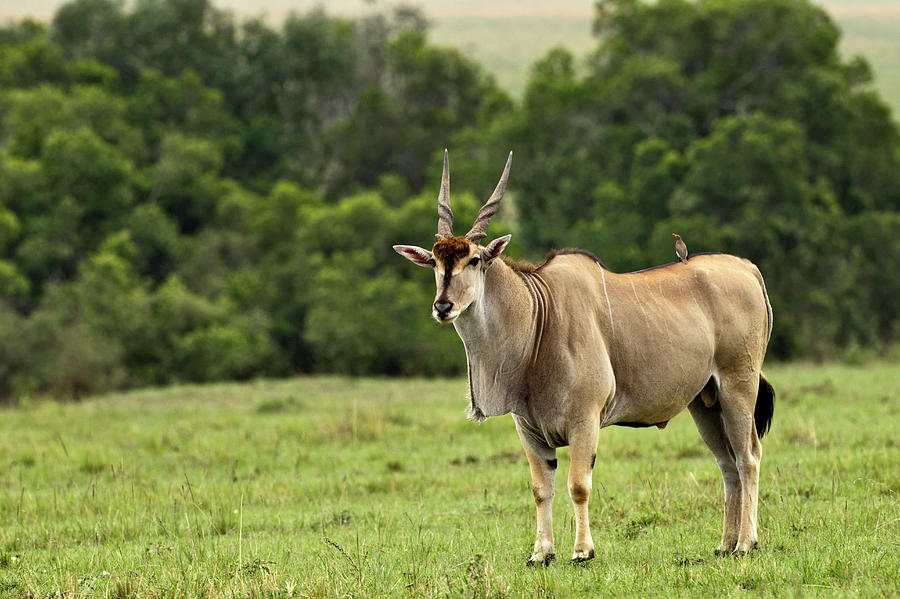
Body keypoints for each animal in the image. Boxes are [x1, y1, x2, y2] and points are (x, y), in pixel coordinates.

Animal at [394, 152, 772, 564]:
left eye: (475, 260)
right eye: (435, 263)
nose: (443, 306)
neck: (540, 314)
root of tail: (748, 268)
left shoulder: (585, 420)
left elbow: (578, 485)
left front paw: (581, 551)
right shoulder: (529, 430)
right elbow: (540, 489)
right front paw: (541, 553)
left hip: (737, 386)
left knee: (748, 456)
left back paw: (747, 542)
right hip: (705, 402)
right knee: (727, 462)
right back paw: (725, 545)